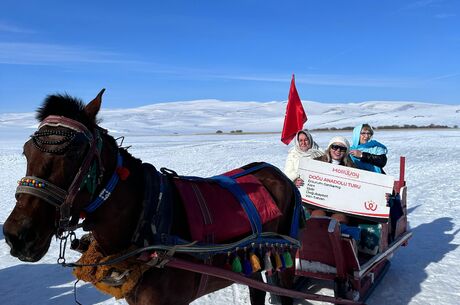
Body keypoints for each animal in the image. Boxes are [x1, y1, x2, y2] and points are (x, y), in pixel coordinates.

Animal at [3, 90, 302, 304]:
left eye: (75, 152)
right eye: (26, 150)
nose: (17, 235)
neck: (145, 215)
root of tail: (277, 173)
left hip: (285, 262)